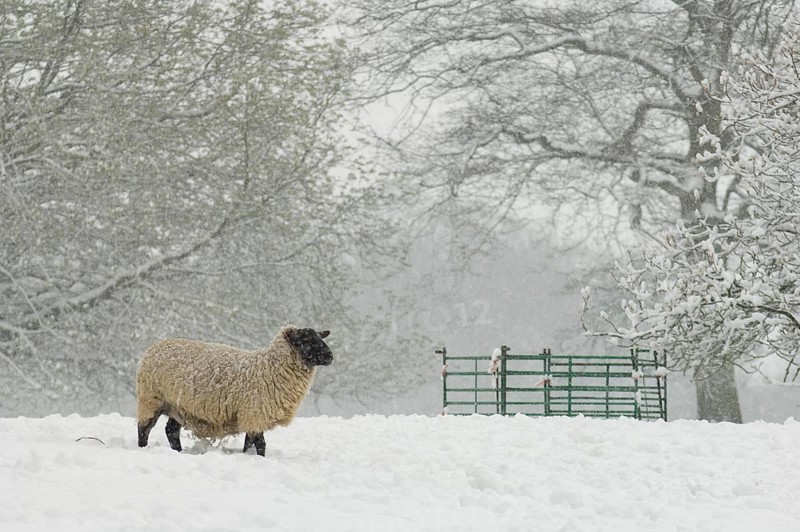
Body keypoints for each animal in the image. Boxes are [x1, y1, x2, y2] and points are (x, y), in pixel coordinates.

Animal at [135, 325, 332, 456]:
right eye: (304, 340)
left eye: (319, 337)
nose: (330, 356)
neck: (270, 368)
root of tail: (154, 347)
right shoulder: (254, 414)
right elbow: (260, 444)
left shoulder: (251, 417)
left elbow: (249, 443)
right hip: (151, 399)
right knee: (144, 429)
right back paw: (142, 448)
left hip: (178, 406)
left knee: (171, 431)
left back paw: (178, 451)